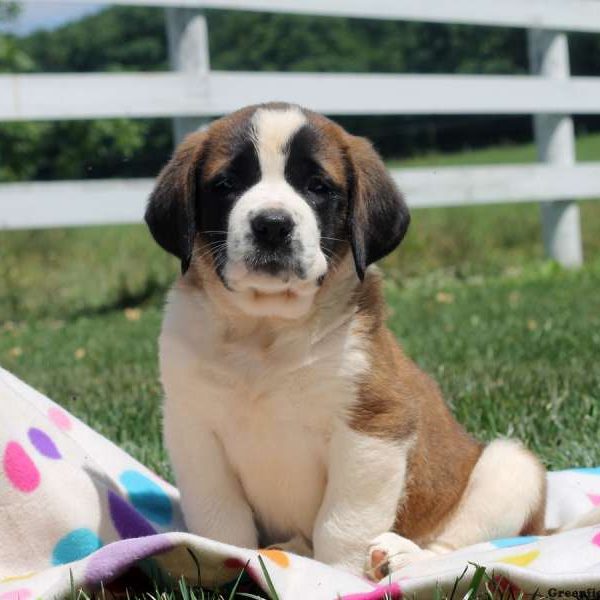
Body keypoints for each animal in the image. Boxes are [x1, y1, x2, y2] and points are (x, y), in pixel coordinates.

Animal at [146, 104, 548, 580]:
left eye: (318, 187)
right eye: (226, 185)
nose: (272, 225)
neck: (266, 330)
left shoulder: (373, 427)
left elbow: (343, 520)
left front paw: (336, 576)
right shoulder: (193, 427)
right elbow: (219, 515)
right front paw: (224, 559)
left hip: (509, 469)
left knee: (455, 543)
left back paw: (403, 556)